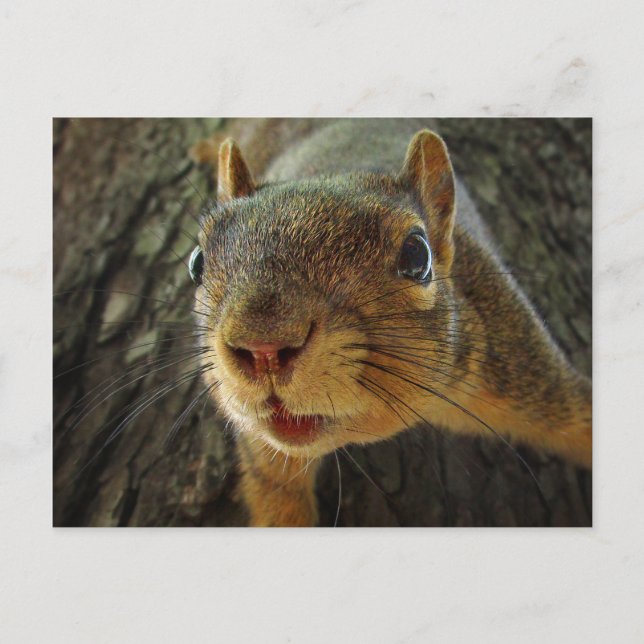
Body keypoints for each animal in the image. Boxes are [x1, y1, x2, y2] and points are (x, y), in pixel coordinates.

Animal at [189, 119, 592, 527]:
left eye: (417, 255)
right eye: (196, 263)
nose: (264, 347)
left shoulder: (513, 357)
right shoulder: (264, 445)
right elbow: (274, 490)